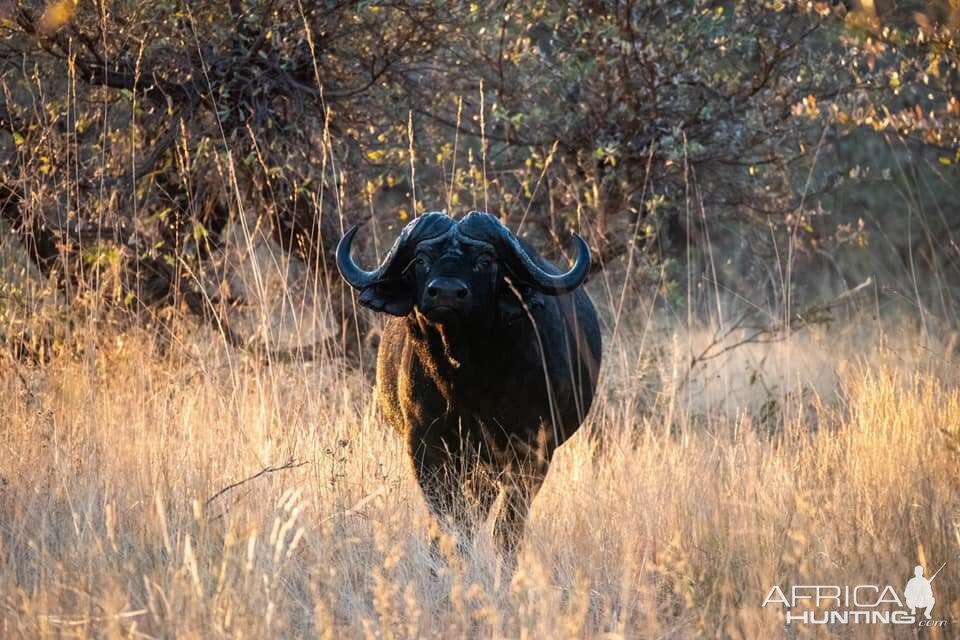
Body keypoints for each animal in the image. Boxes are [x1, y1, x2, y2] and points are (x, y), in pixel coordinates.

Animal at [340, 212, 600, 568]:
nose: (446, 294)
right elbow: (448, 519)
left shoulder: (533, 450)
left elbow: (507, 527)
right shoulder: (425, 445)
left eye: (485, 261)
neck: (467, 383)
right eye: (420, 260)